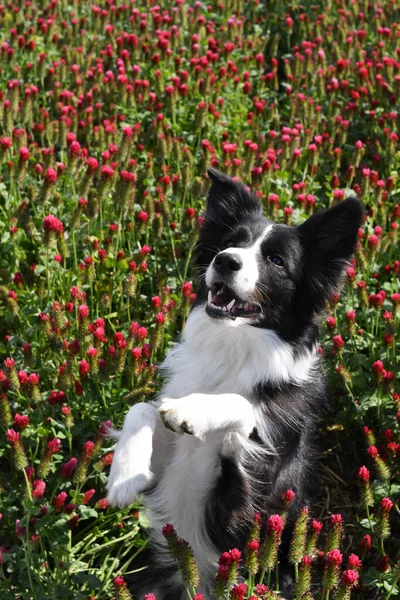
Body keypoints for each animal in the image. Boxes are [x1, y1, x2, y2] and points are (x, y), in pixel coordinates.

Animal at [108, 169, 364, 600]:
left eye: (276, 260)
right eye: (232, 242)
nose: (225, 260)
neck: (233, 348)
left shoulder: (244, 497)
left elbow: (242, 409)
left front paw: (191, 410)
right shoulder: (170, 472)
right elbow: (141, 408)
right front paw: (125, 475)